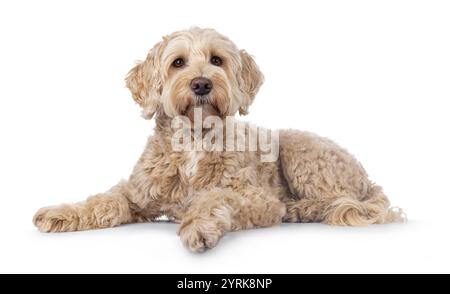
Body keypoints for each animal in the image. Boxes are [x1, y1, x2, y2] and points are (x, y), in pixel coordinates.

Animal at [31, 27, 404, 252]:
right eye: (178, 62)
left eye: (216, 59)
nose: (201, 84)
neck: (193, 143)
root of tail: (368, 178)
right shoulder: (137, 192)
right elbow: (104, 200)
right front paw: (63, 213)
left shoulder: (257, 198)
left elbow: (214, 197)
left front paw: (198, 225)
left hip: (300, 150)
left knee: (336, 199)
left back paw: (302, 208)